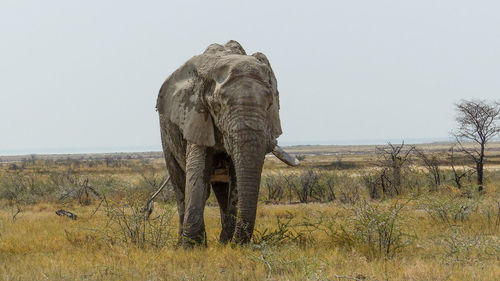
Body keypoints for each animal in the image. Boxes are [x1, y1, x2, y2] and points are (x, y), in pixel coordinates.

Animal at [156, 40, 296, 246]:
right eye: (217, 106)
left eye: (270, 104)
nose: (238, 243)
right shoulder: (196, 115)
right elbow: (197, 172)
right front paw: (192, 247)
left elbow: (236, 179)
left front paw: (228, 244)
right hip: (166, 134)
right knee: (181, 186)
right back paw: (182, 243)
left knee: (222, 190)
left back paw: (223, 240)